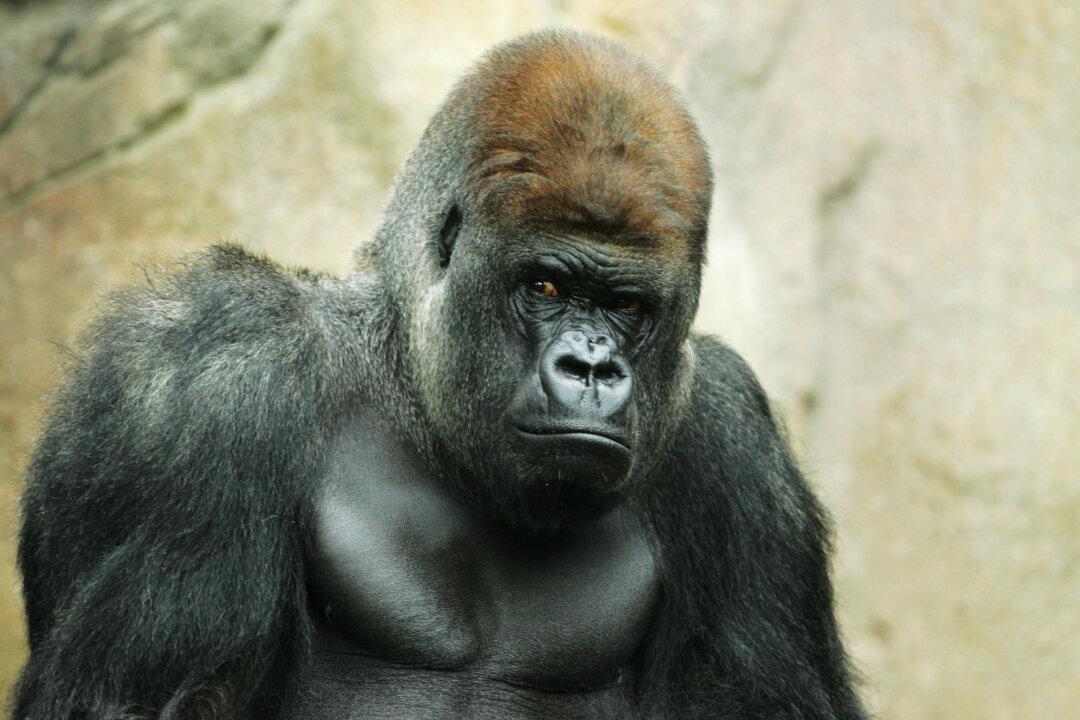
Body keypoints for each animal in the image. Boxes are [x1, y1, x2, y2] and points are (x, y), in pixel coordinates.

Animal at [14, 29, 867, 720]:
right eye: (546, 286)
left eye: (627, 305)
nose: (593, 366)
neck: (411, 385)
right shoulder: (209, 371)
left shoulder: (736, 447)